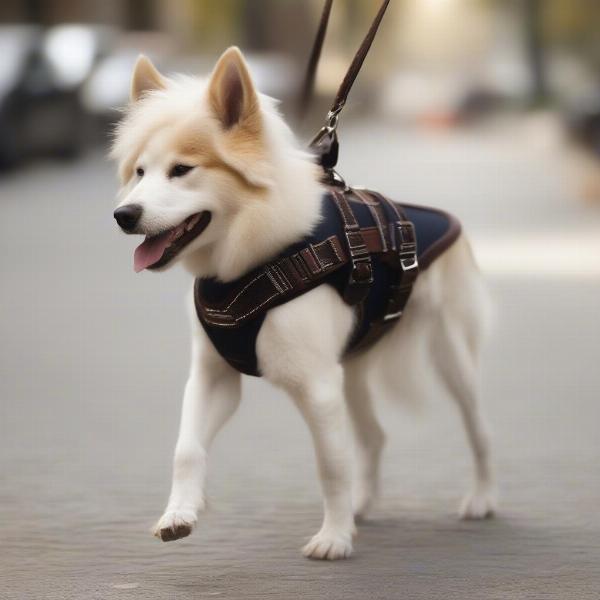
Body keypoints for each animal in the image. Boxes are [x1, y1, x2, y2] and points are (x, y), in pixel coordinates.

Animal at [110, 48, 494, 564]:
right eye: (139, 172)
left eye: (182, 170)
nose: (123, 215)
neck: (247, 259)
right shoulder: (214, 376)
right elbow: (187, 448)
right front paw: (180, 513)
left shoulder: (318, 386)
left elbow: (330, 465)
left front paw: (334, 537)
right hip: (353, 366)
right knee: (374, 436)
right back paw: (362, 504)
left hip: (450, 356)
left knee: (479, 430)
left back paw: (482, 498)